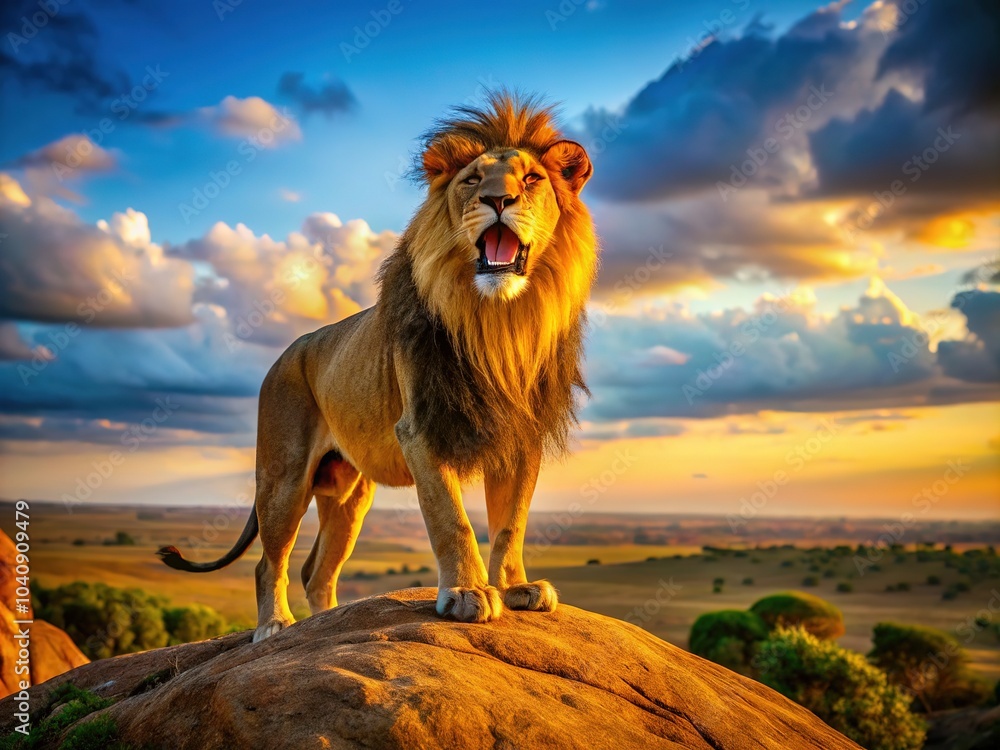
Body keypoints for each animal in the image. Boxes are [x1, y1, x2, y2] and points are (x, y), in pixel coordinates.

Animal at [158, 92, 598, 642]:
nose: (499, 200)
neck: (499, 322)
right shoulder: (421, 428)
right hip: (283, 478)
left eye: (533, 178)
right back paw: (276, 626)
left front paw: (516, 587)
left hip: (349, 492)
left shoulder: (521, 433)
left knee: (316, 569)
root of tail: (285, 353)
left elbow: (511, 521)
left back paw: (324, 624)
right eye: (473, 180)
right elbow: (451, 518)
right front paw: (467, 592)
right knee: (268, 563)